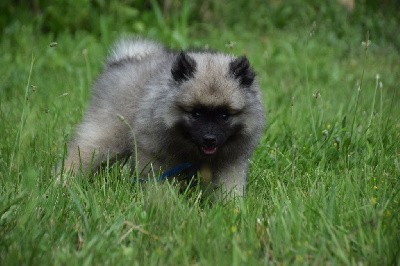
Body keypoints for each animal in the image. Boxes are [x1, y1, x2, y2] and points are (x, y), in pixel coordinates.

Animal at [61, 38, 266, 198]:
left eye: (224, 115)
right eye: (196, 114)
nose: (210, 139)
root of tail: (123, 60)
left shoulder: (231, 164)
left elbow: (230, 189)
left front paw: (231, 209)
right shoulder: (154, 158)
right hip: (107, 136)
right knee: (80, 155)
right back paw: (62, 184)